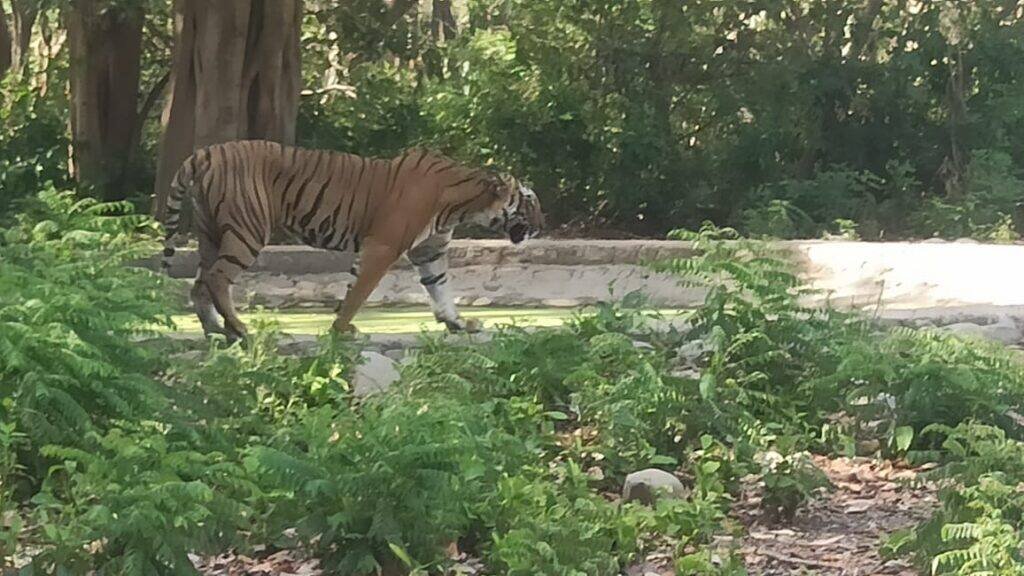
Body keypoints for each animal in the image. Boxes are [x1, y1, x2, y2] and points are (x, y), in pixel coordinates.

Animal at [161, 140, 543, 343]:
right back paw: (239, 328)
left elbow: (441, 288)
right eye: (530, 201)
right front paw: (343, 328)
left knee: (199, 283)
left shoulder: (429, 250)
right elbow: (359, 291)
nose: (542, 227)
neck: (463, 205)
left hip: (212, 234)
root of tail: (206, 152)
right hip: (248, 230)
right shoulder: (384, 246)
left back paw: (214, 330)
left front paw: (459, 323)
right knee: (216, 278)